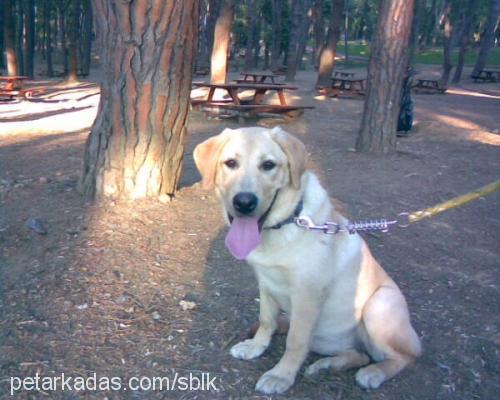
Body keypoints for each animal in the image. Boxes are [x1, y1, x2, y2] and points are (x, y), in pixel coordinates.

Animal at [193, 127, 420, 394]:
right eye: (230, 163)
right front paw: (255, 347)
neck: (287, 222)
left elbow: (295, 340)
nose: (244, 202)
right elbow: (266, 320)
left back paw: (374, 372)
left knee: (403, 357)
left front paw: (281, 376)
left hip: (379, 303)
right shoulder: (266, 283)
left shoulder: (306, 295)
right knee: (360, 354)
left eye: (268, 165)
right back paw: (328, 365)